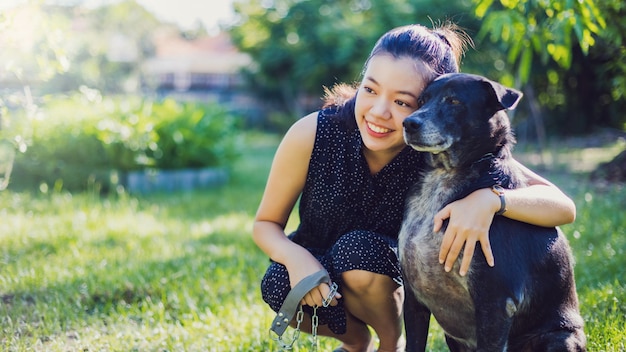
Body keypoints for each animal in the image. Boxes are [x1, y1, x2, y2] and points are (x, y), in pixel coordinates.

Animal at [398, 73, 584, 350]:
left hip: (561, 337)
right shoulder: (413, 299)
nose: (408, 123)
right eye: (421, 101)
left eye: (453, 101)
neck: (444, 174)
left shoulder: (495, 302)